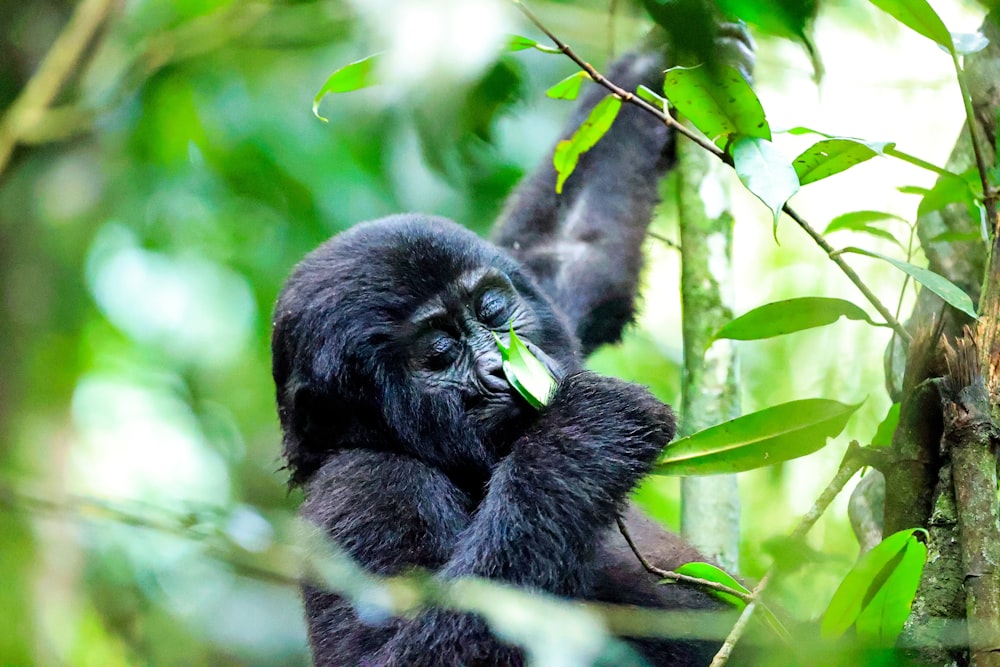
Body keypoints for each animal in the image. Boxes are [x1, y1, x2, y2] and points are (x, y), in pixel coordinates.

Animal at [272, 35, 744, 667]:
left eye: (494, 310)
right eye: (439, 353)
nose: (502, 367)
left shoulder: (545, 292)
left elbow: (573, 246)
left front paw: (657, 64)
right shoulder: (364, 486)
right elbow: (387, 653)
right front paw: (581, 438)